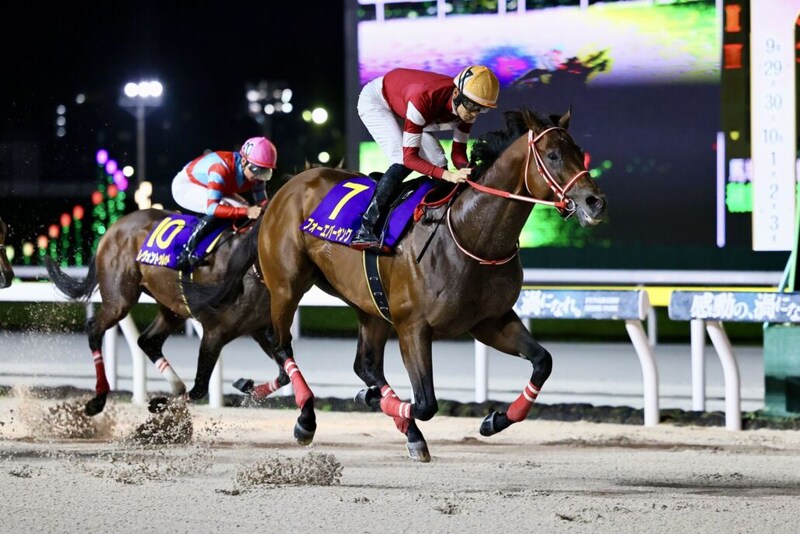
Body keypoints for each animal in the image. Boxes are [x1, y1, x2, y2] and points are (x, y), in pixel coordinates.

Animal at [44, 208, 288, 416]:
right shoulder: (214, 332)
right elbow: (200, 388)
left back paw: (175, 384)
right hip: (119, 300)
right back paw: (98, 399)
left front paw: (248, 387)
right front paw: (159, 403)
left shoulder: (261, 330)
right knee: (95, 329)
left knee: (147, 340)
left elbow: (285, 374)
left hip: (172, 306)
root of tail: (115, 227)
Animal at [184, 107, 607, 461]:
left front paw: (494, 420)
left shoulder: (490, 321)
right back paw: (306, 417)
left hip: (368, 303)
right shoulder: (412, 326)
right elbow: (426, 403)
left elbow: (542, 362)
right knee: (281, 343)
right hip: (287, 284)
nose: (594, 201)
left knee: (364, 365)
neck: (470, 234)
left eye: (578, 150)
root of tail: (282, 191)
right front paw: (395, 416)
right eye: (553, 155)